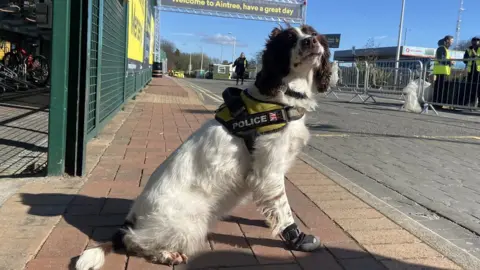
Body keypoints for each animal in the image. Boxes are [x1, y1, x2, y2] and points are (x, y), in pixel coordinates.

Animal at [75, 24, 332, 268]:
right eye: (289, 38)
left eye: (312, 33)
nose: (311, 41)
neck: (281, 97)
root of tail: (132, 219)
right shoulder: (268, 170)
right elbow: (283, 206)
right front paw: (297, 238)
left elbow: (274, 204)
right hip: (191, 223)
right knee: (134, 240)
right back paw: (166, 254)